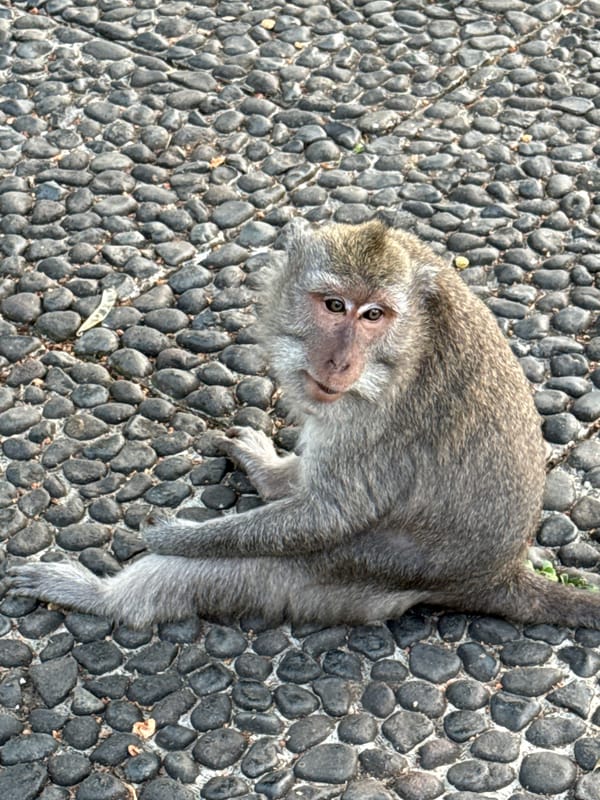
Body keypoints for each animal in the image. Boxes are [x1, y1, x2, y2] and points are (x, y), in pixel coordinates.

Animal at [9, 218, 600, 630]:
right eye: (334, 305)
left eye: (373, 315)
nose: (339, 363)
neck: (410, 338)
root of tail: (499, 575)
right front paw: (269, 471)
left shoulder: (373, 417)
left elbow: (329, 514)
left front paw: (180, 536)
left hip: (362, 572)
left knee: (250, 565)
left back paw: (103, 598)